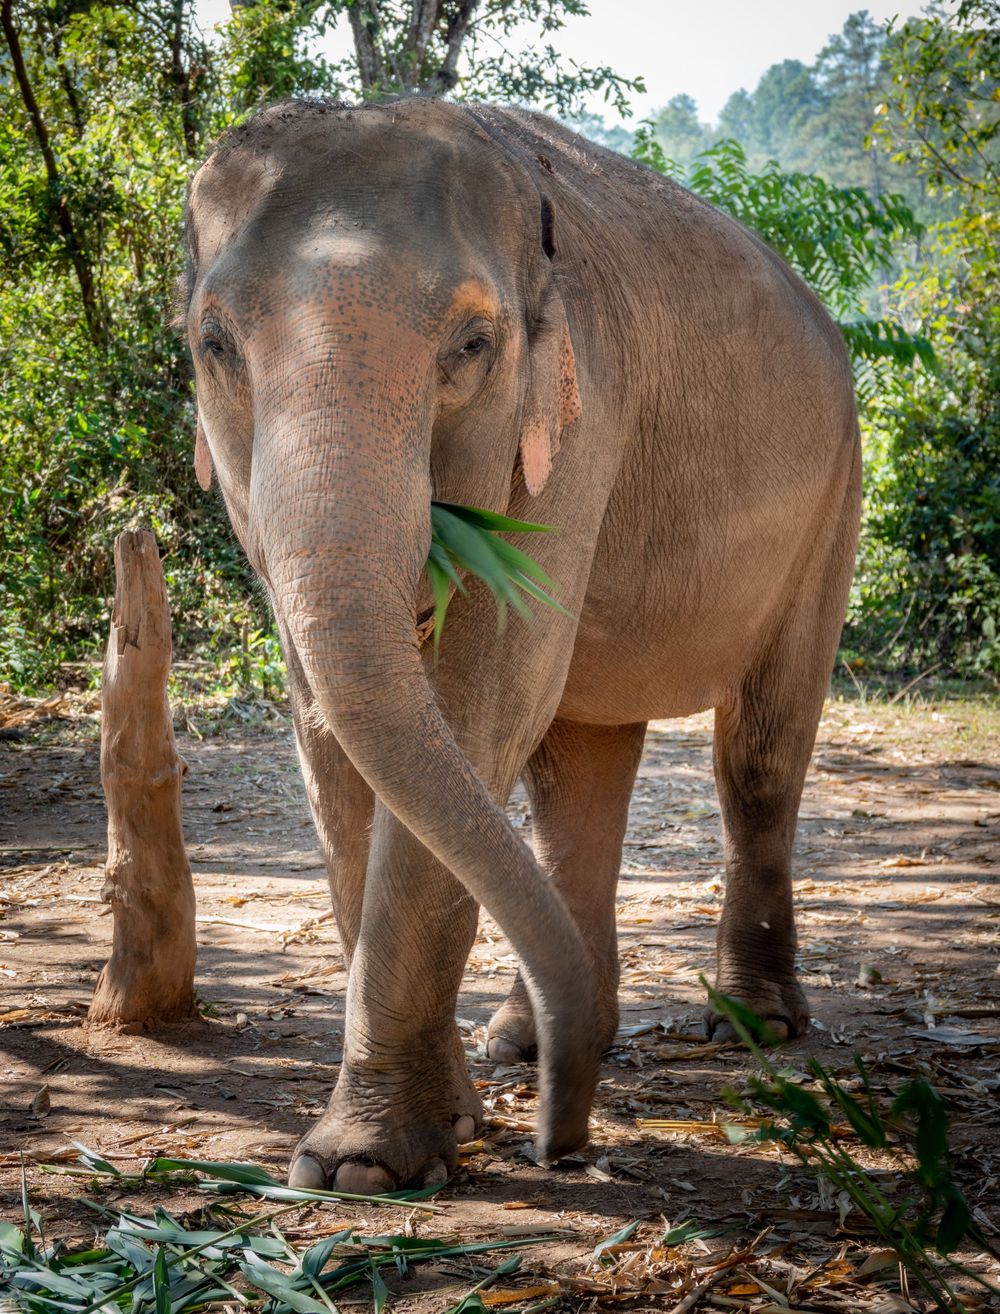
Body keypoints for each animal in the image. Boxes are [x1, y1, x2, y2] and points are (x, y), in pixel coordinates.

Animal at [181, 97, 861, 1194]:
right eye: (213, 344)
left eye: (472, 343)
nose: (560, 1143)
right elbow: (331, 737)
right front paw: (428, 1134)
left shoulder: (578, 422)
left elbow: (481, 701)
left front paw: (365, 1167)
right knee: (578, 764)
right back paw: (530, 1042)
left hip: (834, 493)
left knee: (757, 752)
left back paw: (750, 1028)